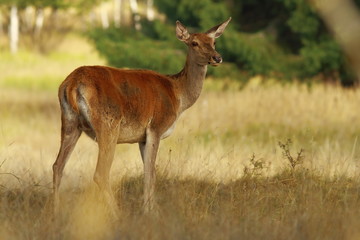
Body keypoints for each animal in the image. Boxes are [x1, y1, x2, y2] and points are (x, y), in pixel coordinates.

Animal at [52, 17, 232, 215]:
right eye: (194, 43)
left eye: (214, 42)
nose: (217, 58)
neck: (178, 95)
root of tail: (72, 84)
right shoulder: (155, 127)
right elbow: (151, 173)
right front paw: (150, 212)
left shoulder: (141, 138)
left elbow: (148, 172)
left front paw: (148, 207)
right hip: (108, 124)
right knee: (100, 173)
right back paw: (117, 213)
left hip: (69, 123)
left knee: (57, 166)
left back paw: (54, 212)